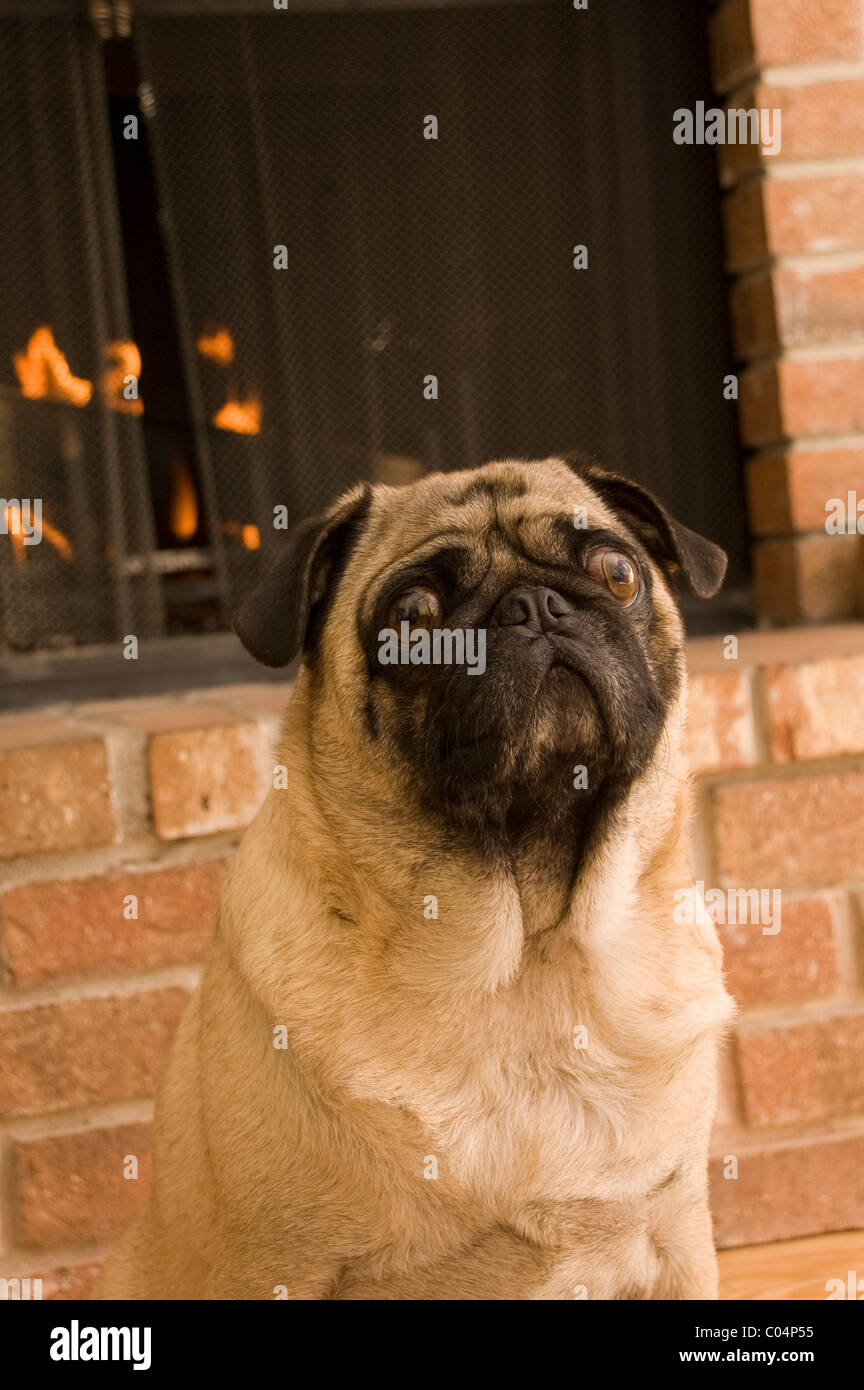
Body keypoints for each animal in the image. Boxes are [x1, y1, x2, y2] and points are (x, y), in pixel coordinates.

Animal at [100, 461, 738, 1295]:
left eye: (618, 573)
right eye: (412, 615)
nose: (534, 606)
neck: (525, 965)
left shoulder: (676, 1242)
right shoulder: (275, 1267)